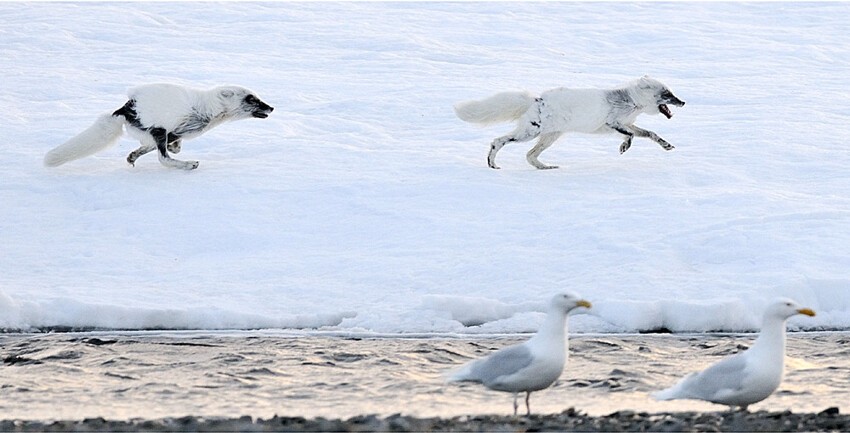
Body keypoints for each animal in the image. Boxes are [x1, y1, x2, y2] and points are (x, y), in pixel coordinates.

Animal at [44, 82, 274, 169]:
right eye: (251, 99)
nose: (271, 107)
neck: (209, 109)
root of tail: (127, 106)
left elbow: (172, 145)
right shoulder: (169, 129)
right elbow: (166, 152)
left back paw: (133, 157)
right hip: (159, 129)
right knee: (163, 158)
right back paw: (188, 164)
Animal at [450, 75, 684, 170]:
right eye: (667, 94)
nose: (683, 102)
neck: (631, 101)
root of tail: (536, 99)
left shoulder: (628, 123)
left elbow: (650, 134)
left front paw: (666, 145)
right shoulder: (611, 123)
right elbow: (632, 135)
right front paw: (624, 146)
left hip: (550, 137)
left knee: (529, 156)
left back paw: (547, 167)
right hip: (529, 133)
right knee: (497, 141)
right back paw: (492, 163)